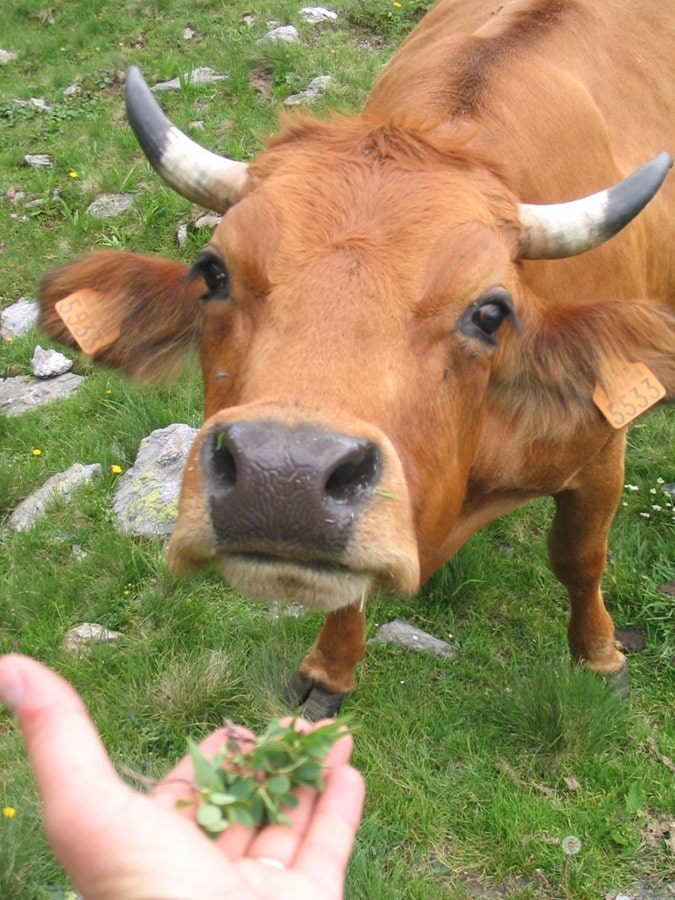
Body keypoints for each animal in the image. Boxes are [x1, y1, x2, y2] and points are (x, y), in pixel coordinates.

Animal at [38, 0, 675, 719]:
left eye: (489, 313)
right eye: (212, 273)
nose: (281, 477)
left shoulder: (602, 444)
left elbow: (579, 557)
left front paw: (599, 658)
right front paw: (330, 670)